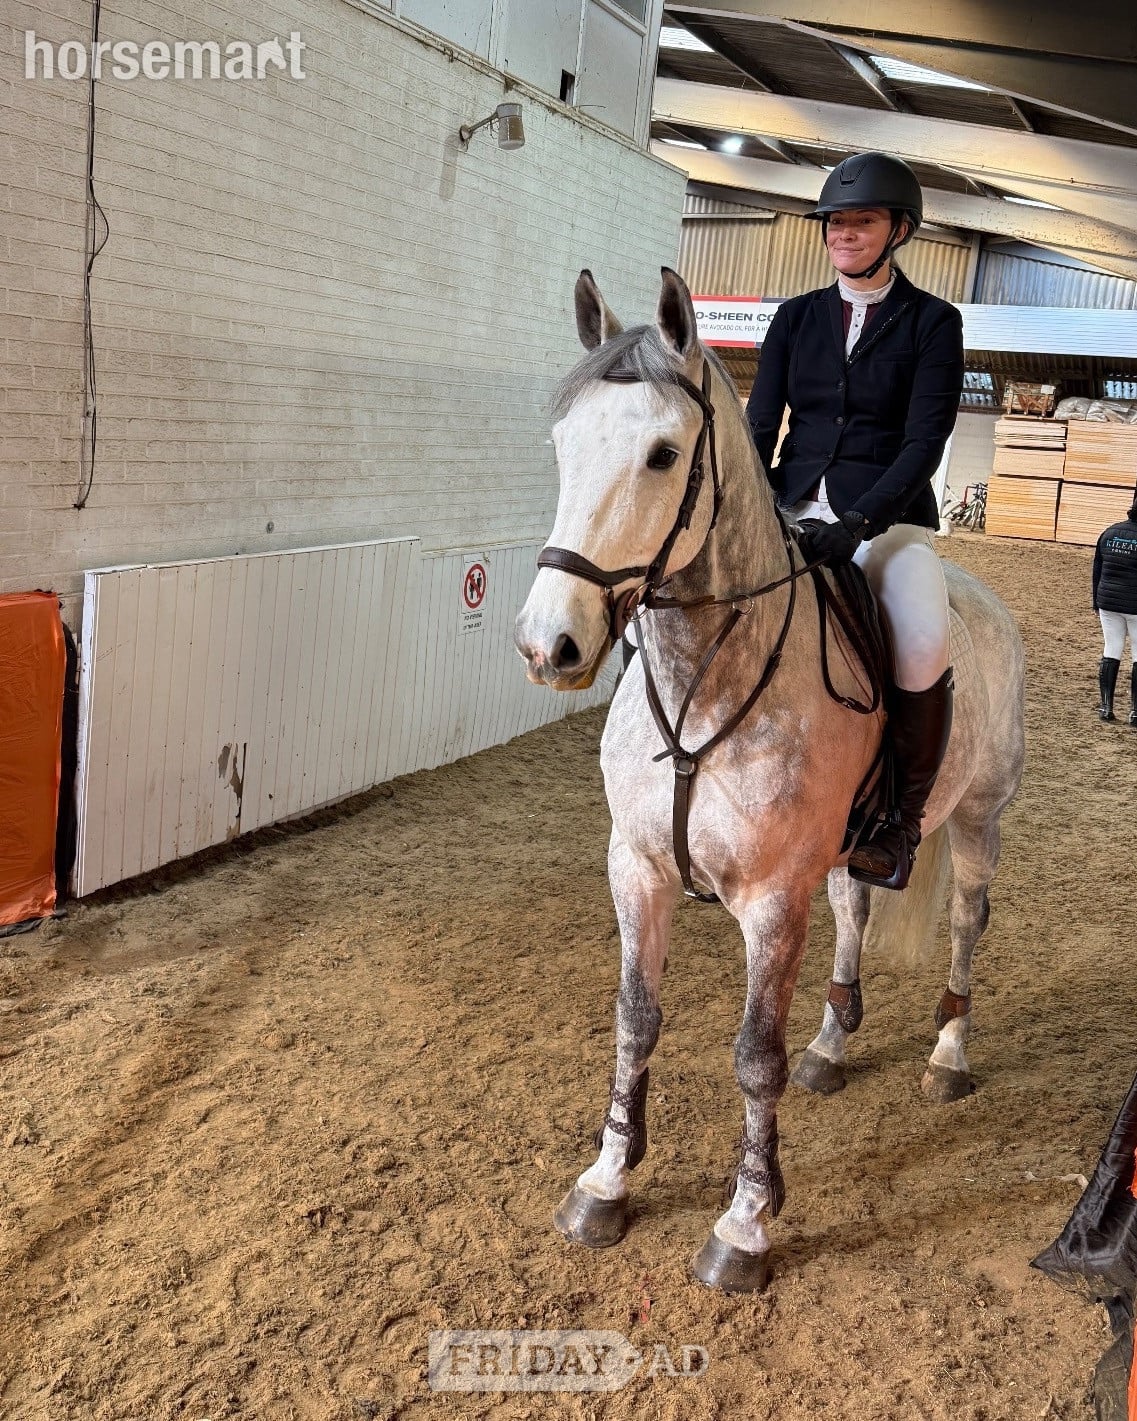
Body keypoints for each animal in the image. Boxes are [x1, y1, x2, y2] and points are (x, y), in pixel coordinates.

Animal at [514, 267, 1025, 1293]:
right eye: (561, 443)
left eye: (663, 454)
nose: (550, 645)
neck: (698, 689)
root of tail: (982, 600)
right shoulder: (636, 870)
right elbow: (634, 1020)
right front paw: (604, 1182)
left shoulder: (769, 898)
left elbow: (754, 1058)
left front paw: (744, 1226)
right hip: (848, 849)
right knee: (855, 909)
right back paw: (833, 1041)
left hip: (978, 818)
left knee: (966, 921)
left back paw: (948, 1054)